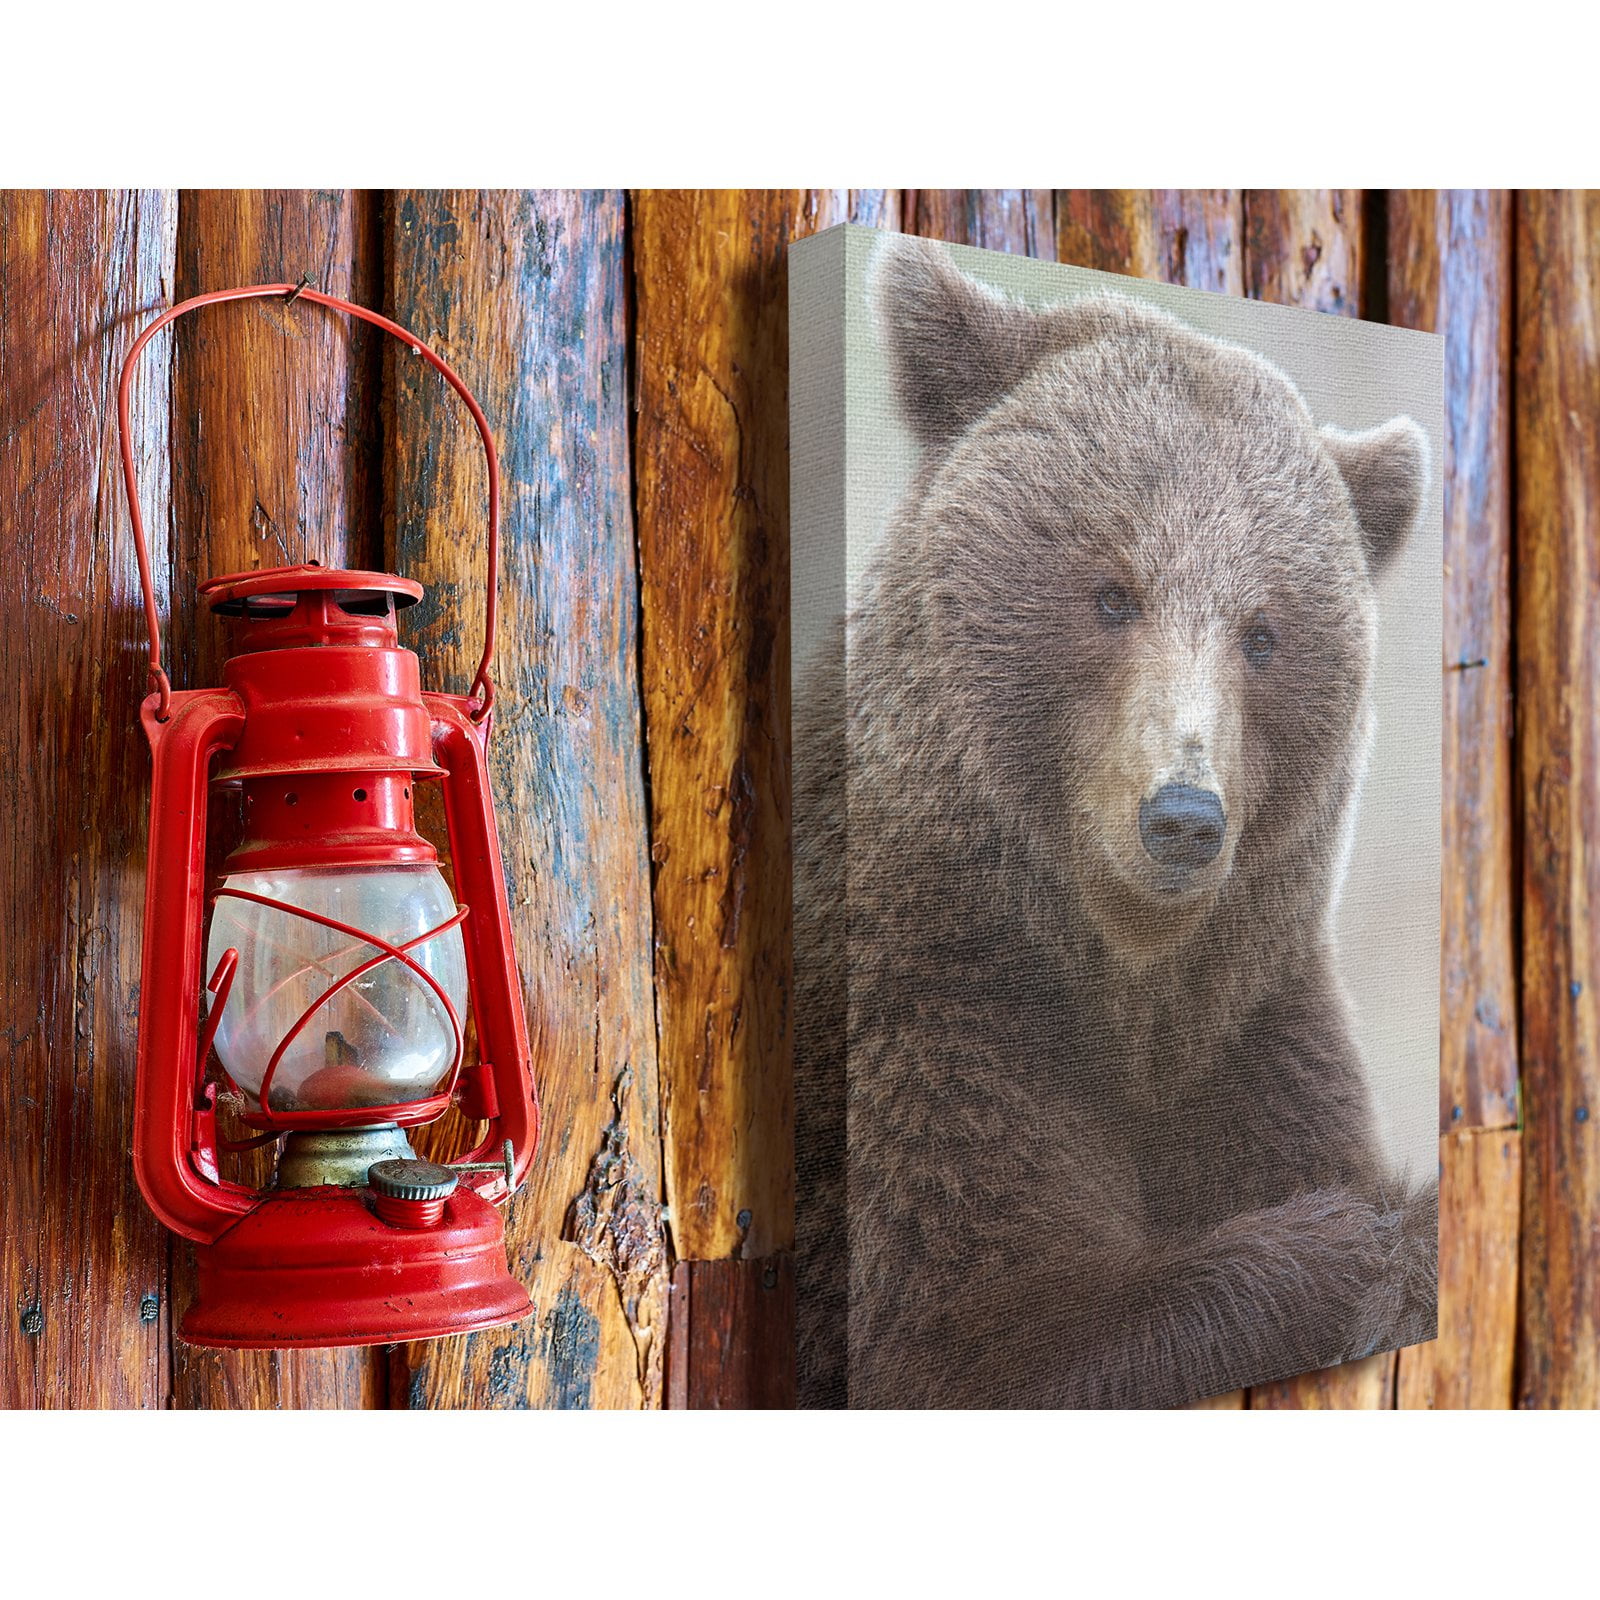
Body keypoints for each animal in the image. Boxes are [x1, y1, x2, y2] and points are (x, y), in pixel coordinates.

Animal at [793, 238, 1439, 1409]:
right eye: (1110, 592)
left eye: (1263, 632)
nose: (1182, 817)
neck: (1124, 990)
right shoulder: (928, 1019)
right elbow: (992, 1331)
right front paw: (1350, 1253)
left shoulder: (1251, 1034)